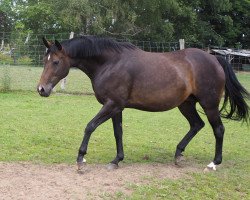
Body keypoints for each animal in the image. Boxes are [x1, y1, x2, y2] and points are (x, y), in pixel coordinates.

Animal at [37, 35, 250, 170]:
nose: (41, 89)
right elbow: (118, 133)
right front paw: (116, 160)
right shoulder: (116, 107)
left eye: (55, 62)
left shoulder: (112, 105)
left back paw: (214, 163)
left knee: (218, 130)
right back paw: (178, 155)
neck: (110, 63)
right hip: (186, 104)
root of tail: (214, 59)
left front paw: (81, 159)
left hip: (209, 104)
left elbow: (90, 126)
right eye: (44, 60)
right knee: (197, 124)